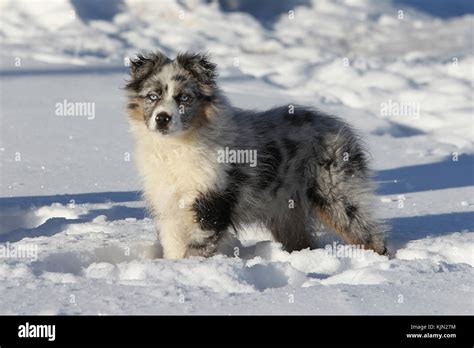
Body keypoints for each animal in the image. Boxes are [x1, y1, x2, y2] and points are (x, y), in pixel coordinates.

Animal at [127, 51, 388, 258]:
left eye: (184, 98)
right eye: (153, 96)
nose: (162, 118)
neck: (177, 146)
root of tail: (340, 126)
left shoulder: (211, 203)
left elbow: (197, 247)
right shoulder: (168, 206)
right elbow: (173, 246)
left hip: (336, 193)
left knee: (367, 232)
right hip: (287, 211)